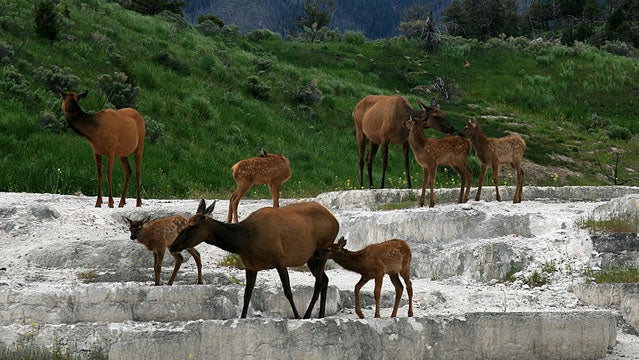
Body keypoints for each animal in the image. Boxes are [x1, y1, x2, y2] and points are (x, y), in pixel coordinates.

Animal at [169, 198, 340, 320]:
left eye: (192, 226)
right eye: (185, 223)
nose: (172, 246)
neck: (247, 242)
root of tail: (336, 221)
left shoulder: (280, 259)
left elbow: (288, 291)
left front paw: (297, 316)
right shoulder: (251, 266)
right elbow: (247, 295)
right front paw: (243, 318)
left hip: (322, 249)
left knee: (318, 284)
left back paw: (307, 315)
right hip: (311, 257)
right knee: (325, 280)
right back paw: (321, 315)